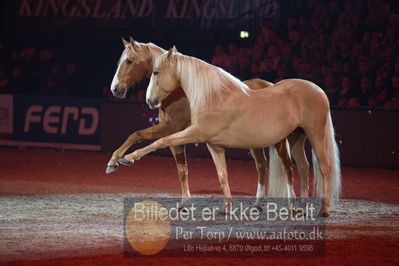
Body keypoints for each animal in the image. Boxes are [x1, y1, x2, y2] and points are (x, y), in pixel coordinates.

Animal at [120, 47, 342, 216]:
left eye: (156, 72)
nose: (150, 101)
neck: (214, 97)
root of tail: (318, 90)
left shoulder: (194, 133)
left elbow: (161, 141)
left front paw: (127, 159)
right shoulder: (214, 146)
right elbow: (222, 175)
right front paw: (226, 207)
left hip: (313, 136)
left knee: (322, 167)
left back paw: (323, 209)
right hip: (296, 137)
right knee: (303, 167)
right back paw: (299, 208)